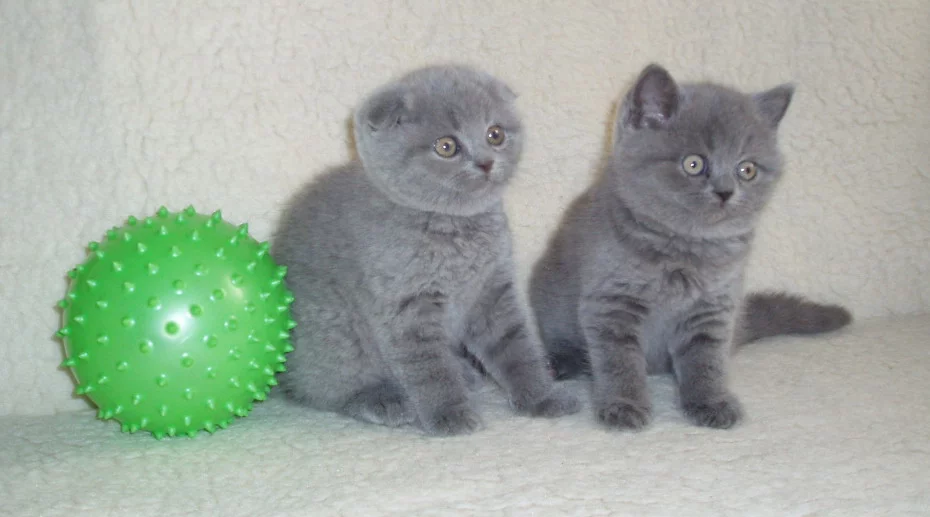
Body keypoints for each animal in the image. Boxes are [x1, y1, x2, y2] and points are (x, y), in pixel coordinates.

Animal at [273, 65, 580, 436]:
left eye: (495, 134)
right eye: (446, 146)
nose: (486, 163)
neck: (454, 228)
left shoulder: (492, 292)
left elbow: (516, 347)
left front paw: (542, 397)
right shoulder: (406, 305)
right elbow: (429, 368)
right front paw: (450, 414)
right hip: (335, 331)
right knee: (327, 387)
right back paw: (383, 400)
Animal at [529, 64, 851, 430]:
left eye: (747, 169)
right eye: (693, 164)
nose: (725, 192)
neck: (685, 248)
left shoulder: (713, 308)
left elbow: (705, 360)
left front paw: (710, 402)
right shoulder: (612, 302)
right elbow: (618, 358)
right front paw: (624, 404)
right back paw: (560, 363)